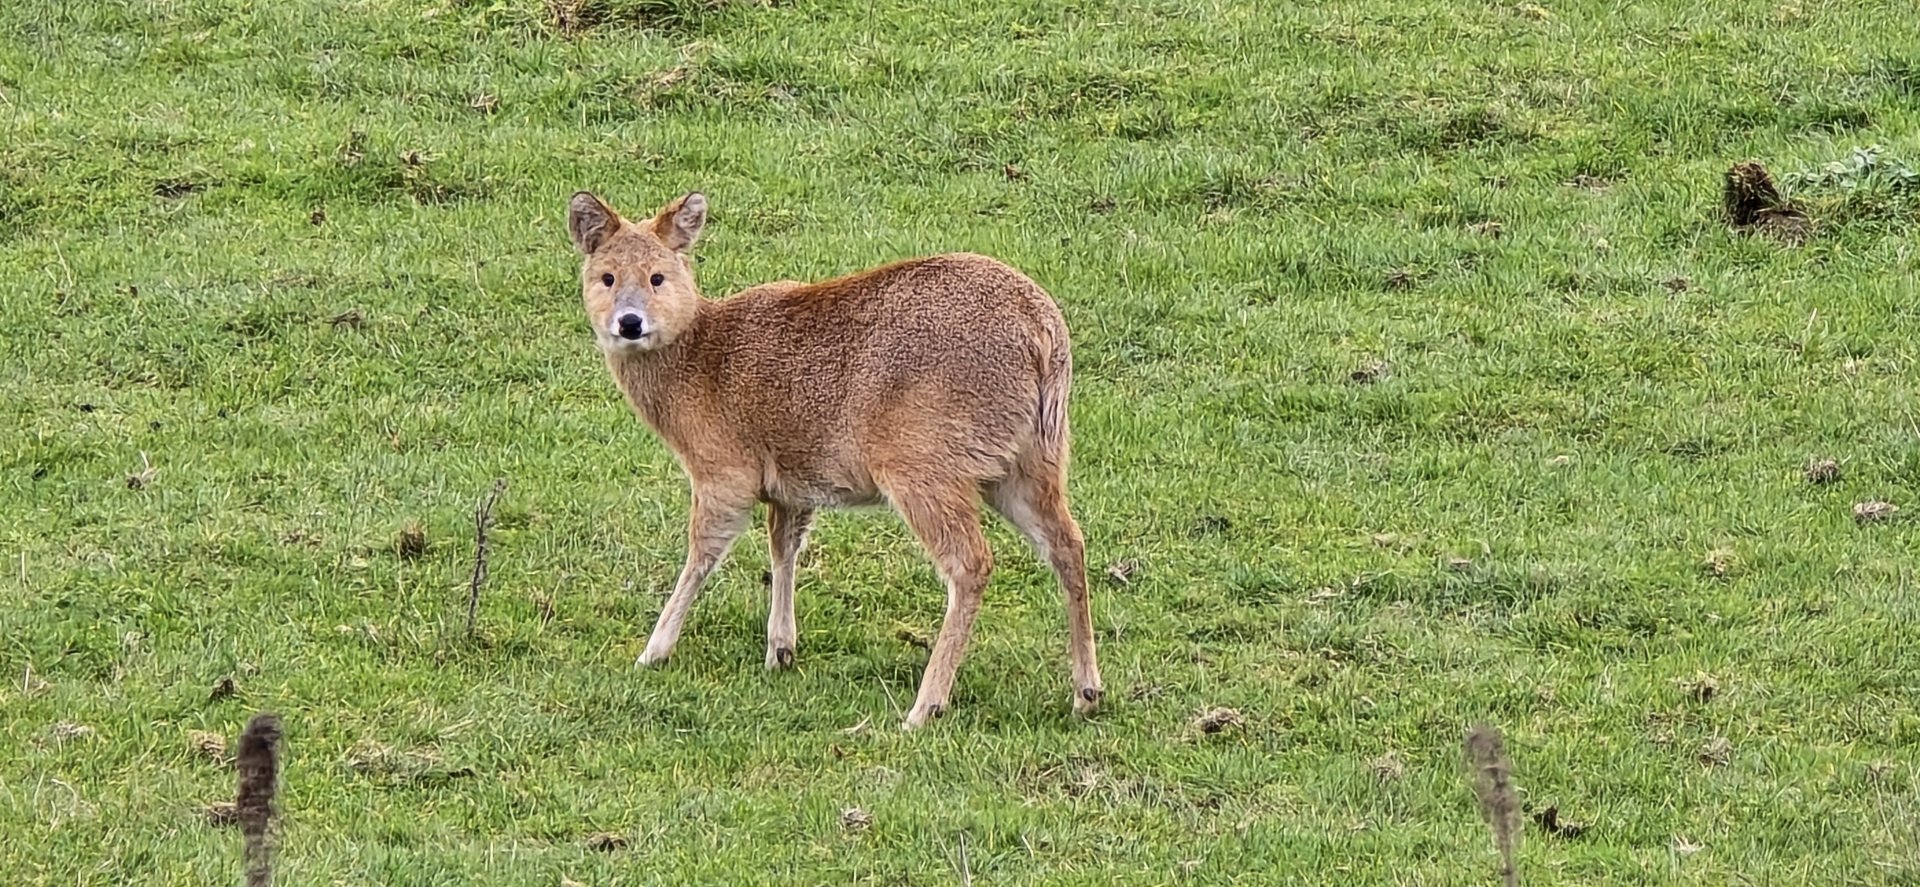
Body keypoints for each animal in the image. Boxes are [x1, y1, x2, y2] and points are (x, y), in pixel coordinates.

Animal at [566, 190, 1102, 729]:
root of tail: (1045, 336)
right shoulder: (790, 480)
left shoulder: (725, 468)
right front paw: (780, 650)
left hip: (923, 461)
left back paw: (924, 706)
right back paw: (1086, 692)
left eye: (658, 276)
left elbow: (704, 553)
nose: (629, 322)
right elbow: (783, 547)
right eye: (606, 276)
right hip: (1033, 456)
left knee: (971, 562)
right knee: (1066, 542)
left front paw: (653, 651)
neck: (696, 361)